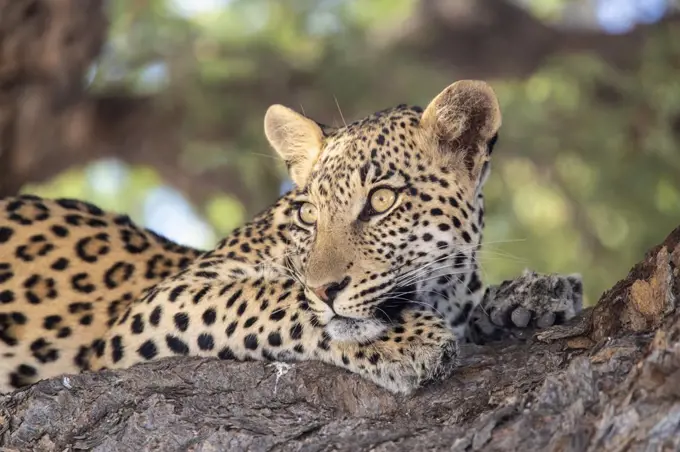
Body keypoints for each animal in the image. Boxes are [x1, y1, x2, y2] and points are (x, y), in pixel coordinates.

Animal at [1, 79, 584, 394]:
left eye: (381, 201)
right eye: (308, 213)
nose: (327, 288)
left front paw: (534, 295)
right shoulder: (158, 306)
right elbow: (268, 296)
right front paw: (408, 340)